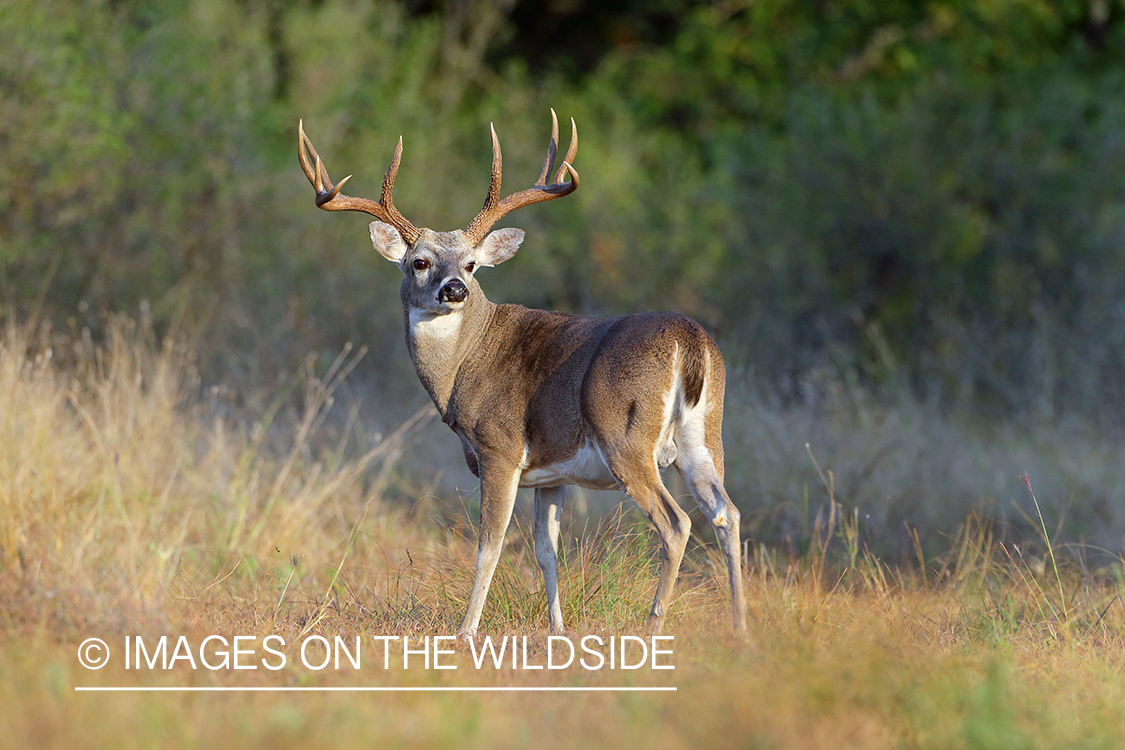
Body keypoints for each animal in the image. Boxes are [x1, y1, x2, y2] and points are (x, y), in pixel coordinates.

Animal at [297, 113, 747, 638]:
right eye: (419, 262)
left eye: (472, 264)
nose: (455, 289)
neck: (465, 364)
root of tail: (689, 341)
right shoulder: (550, 473)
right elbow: (546, 551)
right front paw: (557, 628)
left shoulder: (500, 448)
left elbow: (487, 549)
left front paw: (465, 631)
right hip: (705, 436)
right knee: (727, 513)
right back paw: (741, 627)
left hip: (626, 436)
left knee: (676, 524)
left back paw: (654, 627)